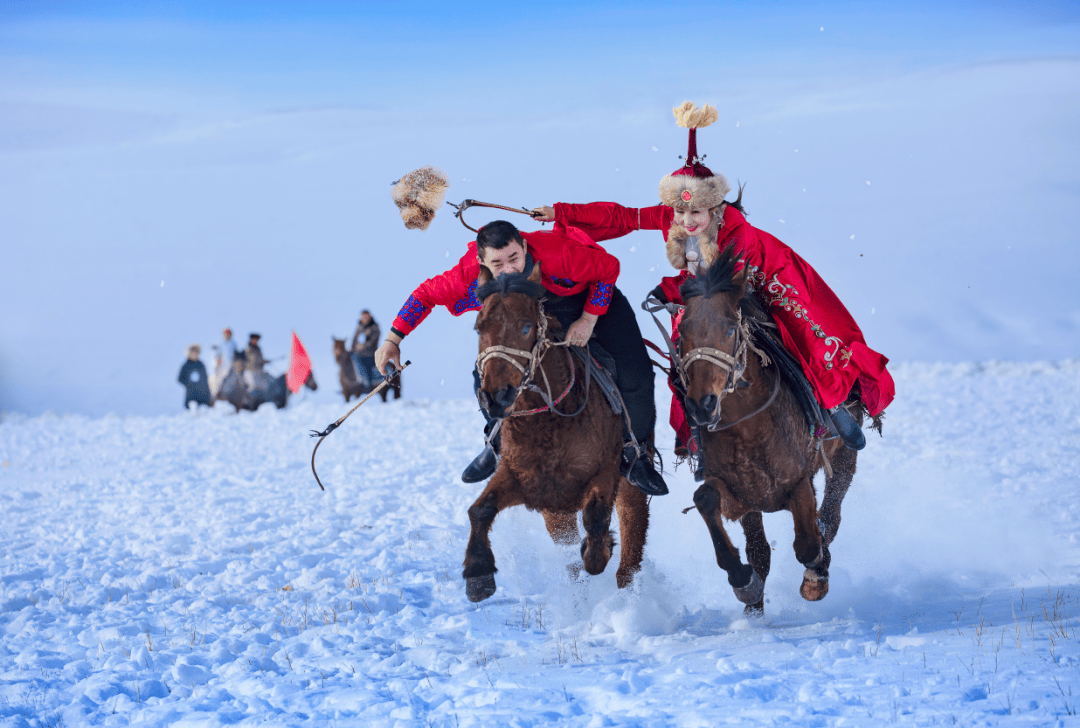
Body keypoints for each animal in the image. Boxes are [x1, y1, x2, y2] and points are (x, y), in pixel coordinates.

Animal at [464, 261, 648, 600]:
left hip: (630, 486)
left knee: (633, 536)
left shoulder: (605, 471)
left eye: (526, 328)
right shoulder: (521, 478)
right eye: (479, 328)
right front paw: (478, 573)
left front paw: (599, 550)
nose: (496, 397)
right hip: (557, 514)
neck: (548, 426)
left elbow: (596, 520)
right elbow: (480, 510)